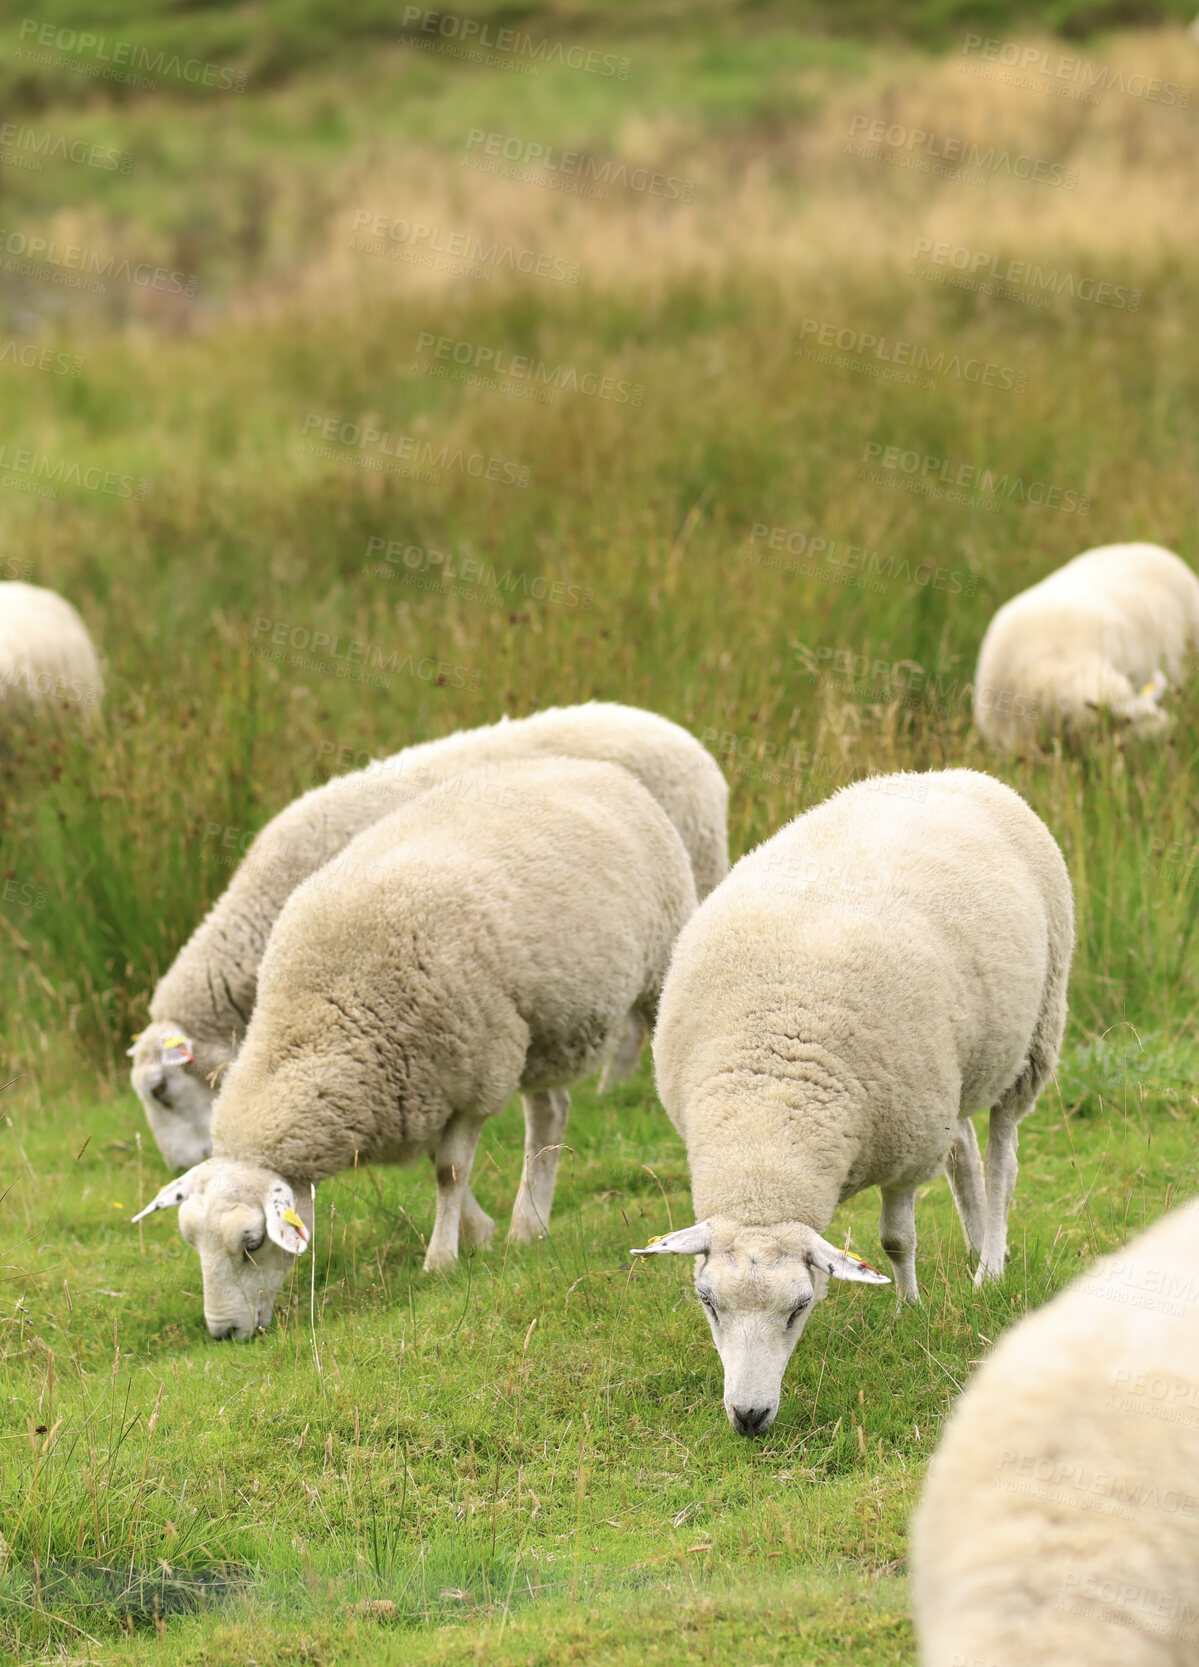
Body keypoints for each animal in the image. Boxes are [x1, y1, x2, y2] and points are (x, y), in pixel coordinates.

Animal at [132, 756, 698, 1337]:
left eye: (250, 1242)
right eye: (192, 1243)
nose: (224, 1333)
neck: (324, 1014)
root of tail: (593, 768)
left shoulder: (473, 1072)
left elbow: (448, 1171)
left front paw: (441, 1259)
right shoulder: (420, 1085)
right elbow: (443, 1163)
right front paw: (481, 1231)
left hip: (652, 967)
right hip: (536, 1030)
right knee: (549, 1114)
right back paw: (529, 1225)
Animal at [633, 768, 1074, 1437]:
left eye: (800, 1306)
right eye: (707, 1302)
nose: (749, 1417)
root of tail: (948, 773)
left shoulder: (906, 1144)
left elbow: (896, 1241)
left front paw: (909, 1308)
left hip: (1033, 1036)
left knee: (1001, 1158)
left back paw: (989, 1266)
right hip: (954, 1073)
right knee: (964, 1151)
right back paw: (977, 1242)